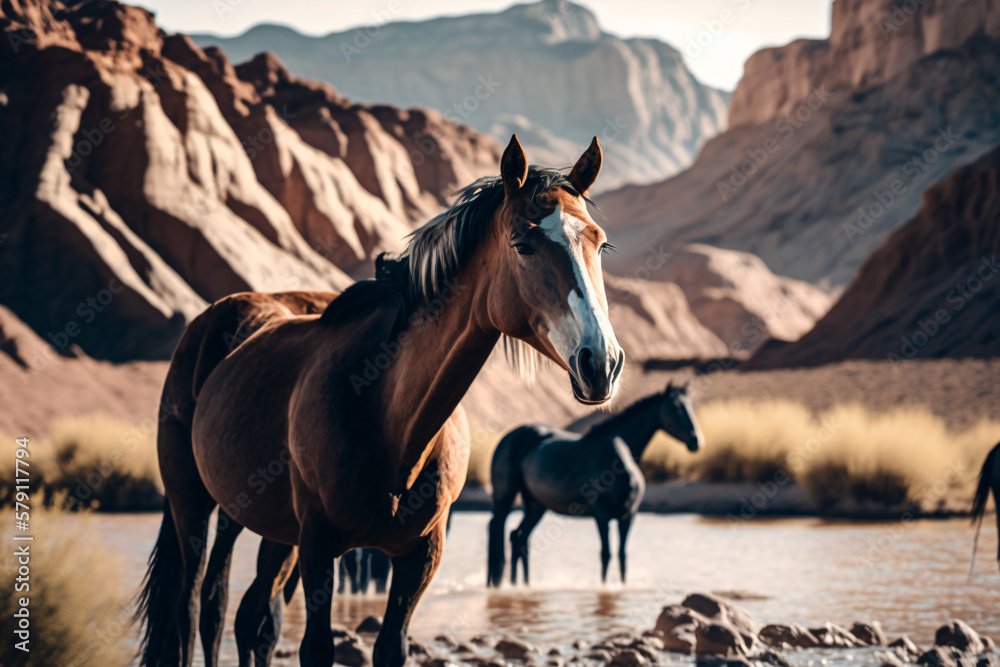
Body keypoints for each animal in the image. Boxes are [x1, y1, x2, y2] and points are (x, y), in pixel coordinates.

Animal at [136, 134, 624, 667]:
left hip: (260, 523)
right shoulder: (319, 546)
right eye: (523, 244)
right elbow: (315, 647)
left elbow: (390, 645)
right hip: (192, 504)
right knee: (192, 610)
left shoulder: (419, 556)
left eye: (600, 243)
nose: (601, 363)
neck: (389, 418)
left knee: (248, 617)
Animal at [487, 382, 702, 587]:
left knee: (519, 538)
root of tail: (508, 438)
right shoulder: (601, 515)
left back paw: (521, 585)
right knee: (498, 527)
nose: (696, 441)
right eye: (676, 408)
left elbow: (622, 556)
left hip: (536, 505)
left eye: (690, 406)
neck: (617, 461)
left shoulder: (628, 516)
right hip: (505, 497)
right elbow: (606, 554)